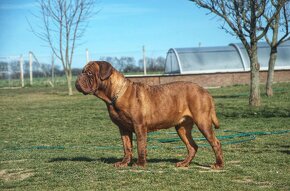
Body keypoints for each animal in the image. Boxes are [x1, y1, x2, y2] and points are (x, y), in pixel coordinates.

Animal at [75, 61, 224, 169]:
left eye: (89, 73)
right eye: (83, 72)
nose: (78, 78)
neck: (115, 94)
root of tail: (205, 91)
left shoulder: (139, 126)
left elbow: (140, 146)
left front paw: (140, 164)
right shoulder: (123, 128)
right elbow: (127, 147)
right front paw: (124, 163)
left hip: (203, 122)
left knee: (215, 143)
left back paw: (218, 164)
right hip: (182, 128)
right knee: (192, 146)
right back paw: (184, 163)